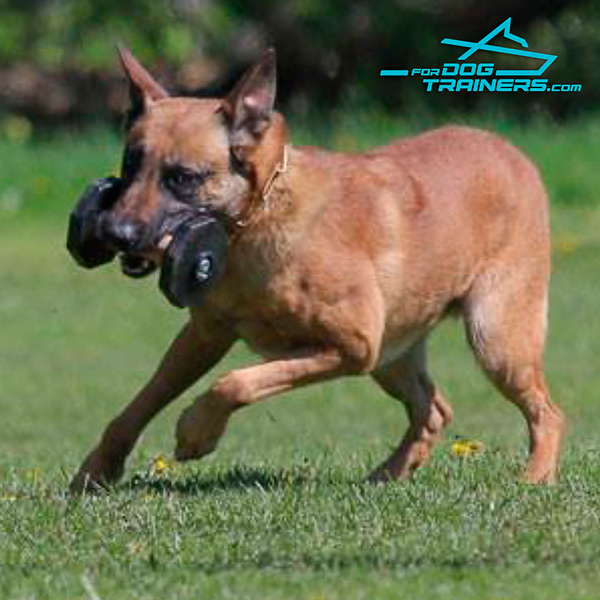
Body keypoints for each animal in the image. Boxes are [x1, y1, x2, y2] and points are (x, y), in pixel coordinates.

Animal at [68, 44, 564, 490]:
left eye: (183, 178)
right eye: (130, 165)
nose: (114, 232)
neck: (254, 224)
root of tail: (513, 153)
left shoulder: (352, 347)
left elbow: (235, 383)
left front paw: (196, 431)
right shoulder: (204, 335)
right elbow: (139, 404)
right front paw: (96, 470)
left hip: (493, 338)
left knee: (547, 413)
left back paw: (534, 478)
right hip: (395, 353)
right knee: (435, 411)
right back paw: (386, 476)